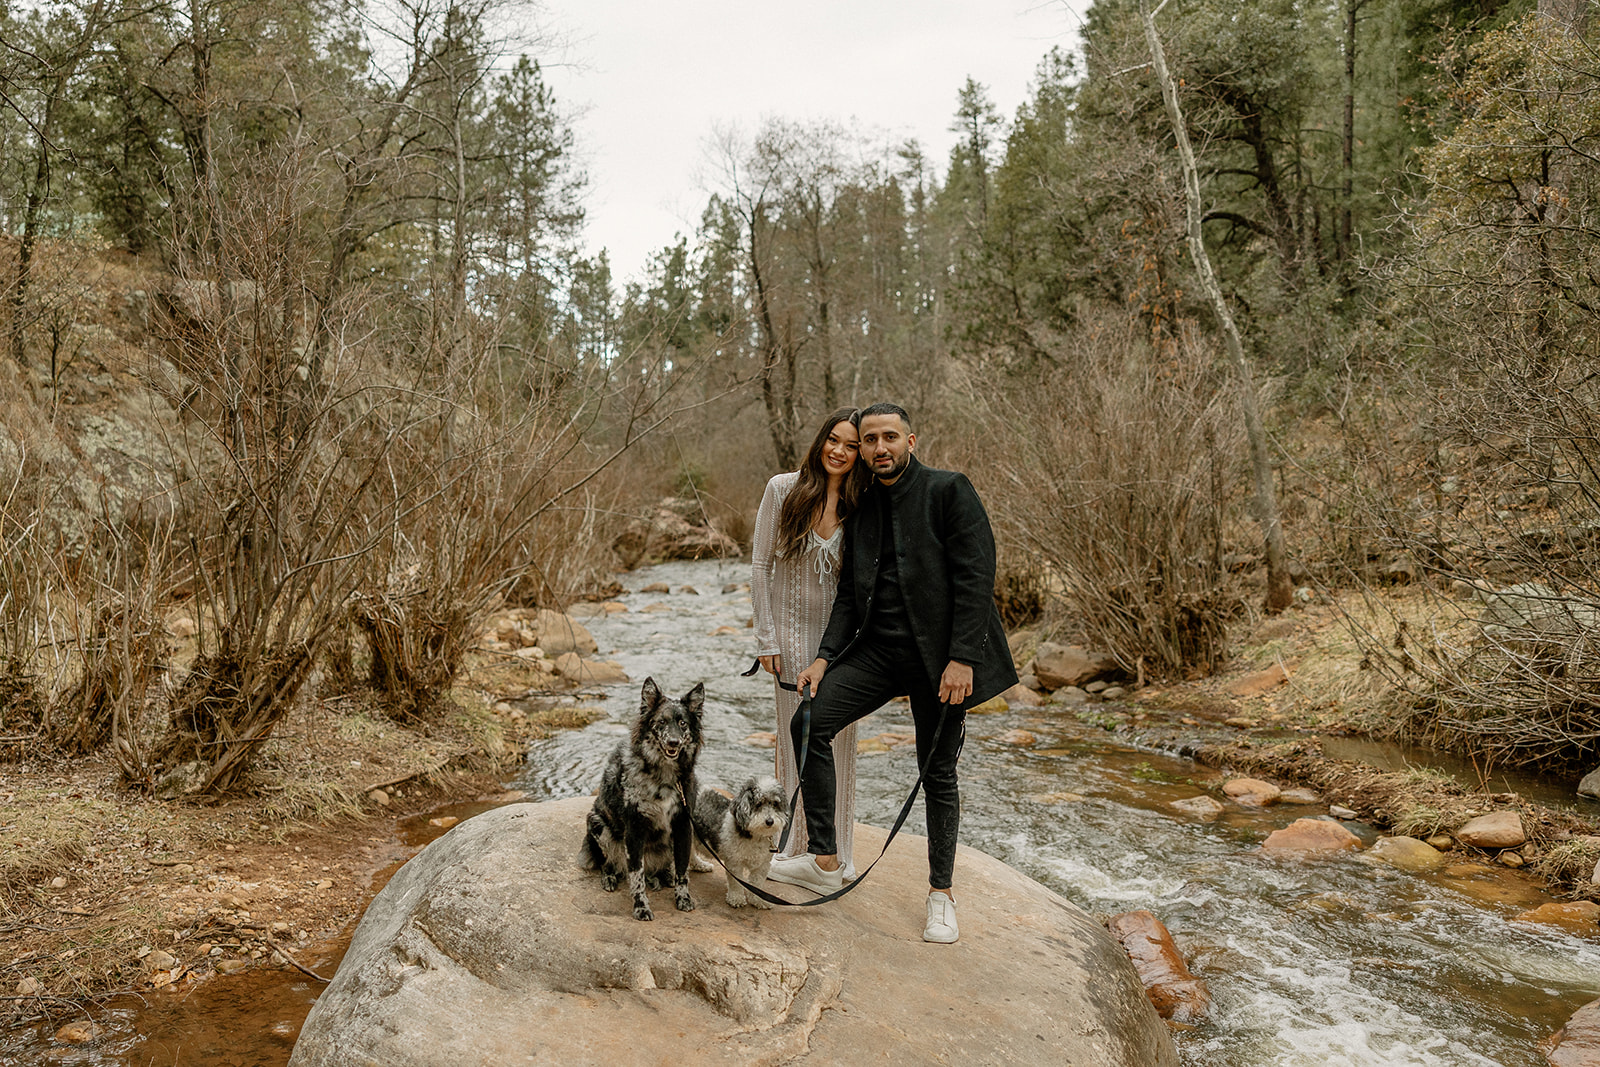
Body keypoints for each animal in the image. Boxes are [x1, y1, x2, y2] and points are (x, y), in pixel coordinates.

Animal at [576, 681, 700, 921]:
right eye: (661, 722)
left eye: (683, 723)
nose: (673, 742)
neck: (663, 776)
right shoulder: (634, 829)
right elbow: (636, 874)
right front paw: (641, 906)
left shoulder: (682, 825)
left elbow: (682, 869)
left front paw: (683, 898)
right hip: (598, 824)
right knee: (610, 863)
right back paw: (610, 877)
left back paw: (664, 876)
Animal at [691, 777, 790, 908]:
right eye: (758, 804)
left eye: (775, 804)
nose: (770, 821)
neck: (756, 835)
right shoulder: (735, 863)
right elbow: (736, 882)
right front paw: (736, 899)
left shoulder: (762, 864)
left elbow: (757, 883)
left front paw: (758, 900)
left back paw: (700, 865)